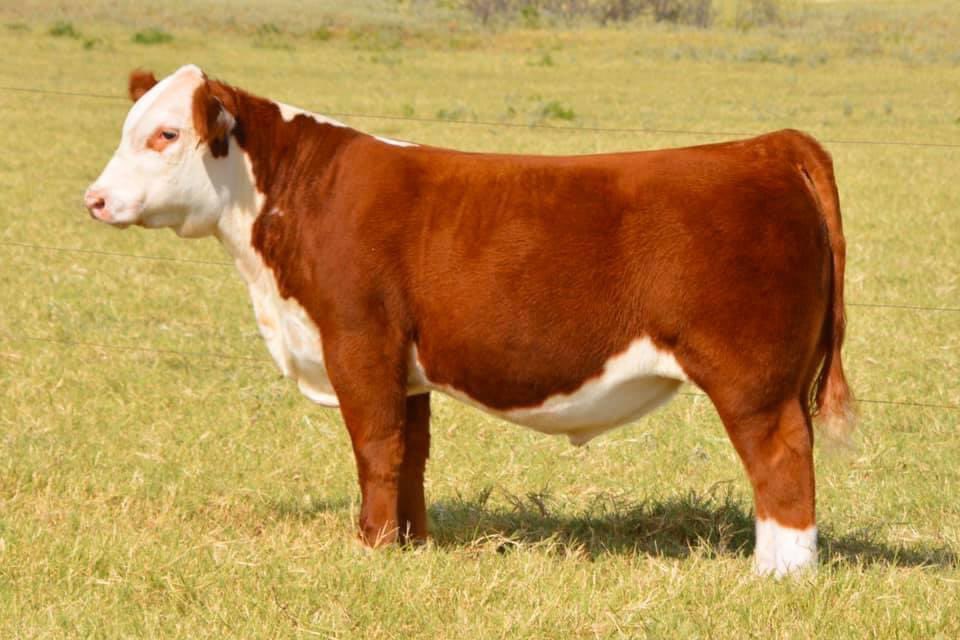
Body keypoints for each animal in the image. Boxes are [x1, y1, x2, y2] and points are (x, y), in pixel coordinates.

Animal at [84, 65, 855, 577]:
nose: (94, 199)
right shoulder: (405, 363)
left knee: (781, 457)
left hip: (751, 378)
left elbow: (375, 448)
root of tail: (766, 146)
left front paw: (369, 548)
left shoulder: (357, 341)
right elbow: (411, 453)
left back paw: (779, 574)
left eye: (166, 134)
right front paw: (409, 545)